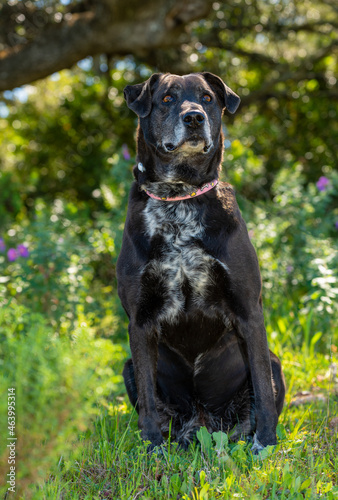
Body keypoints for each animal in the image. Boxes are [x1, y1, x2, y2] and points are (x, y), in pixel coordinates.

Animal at [116, 72, 286, 452]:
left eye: (207, 98)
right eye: (167, 98)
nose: (194, 117)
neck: (179, 197)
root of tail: (202, 421)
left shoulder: (248, 311)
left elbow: (262, 389)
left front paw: (266, 444)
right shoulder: (140, 320)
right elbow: (148, 399)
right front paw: (152, 447)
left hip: (275, 364)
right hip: (128, 367)